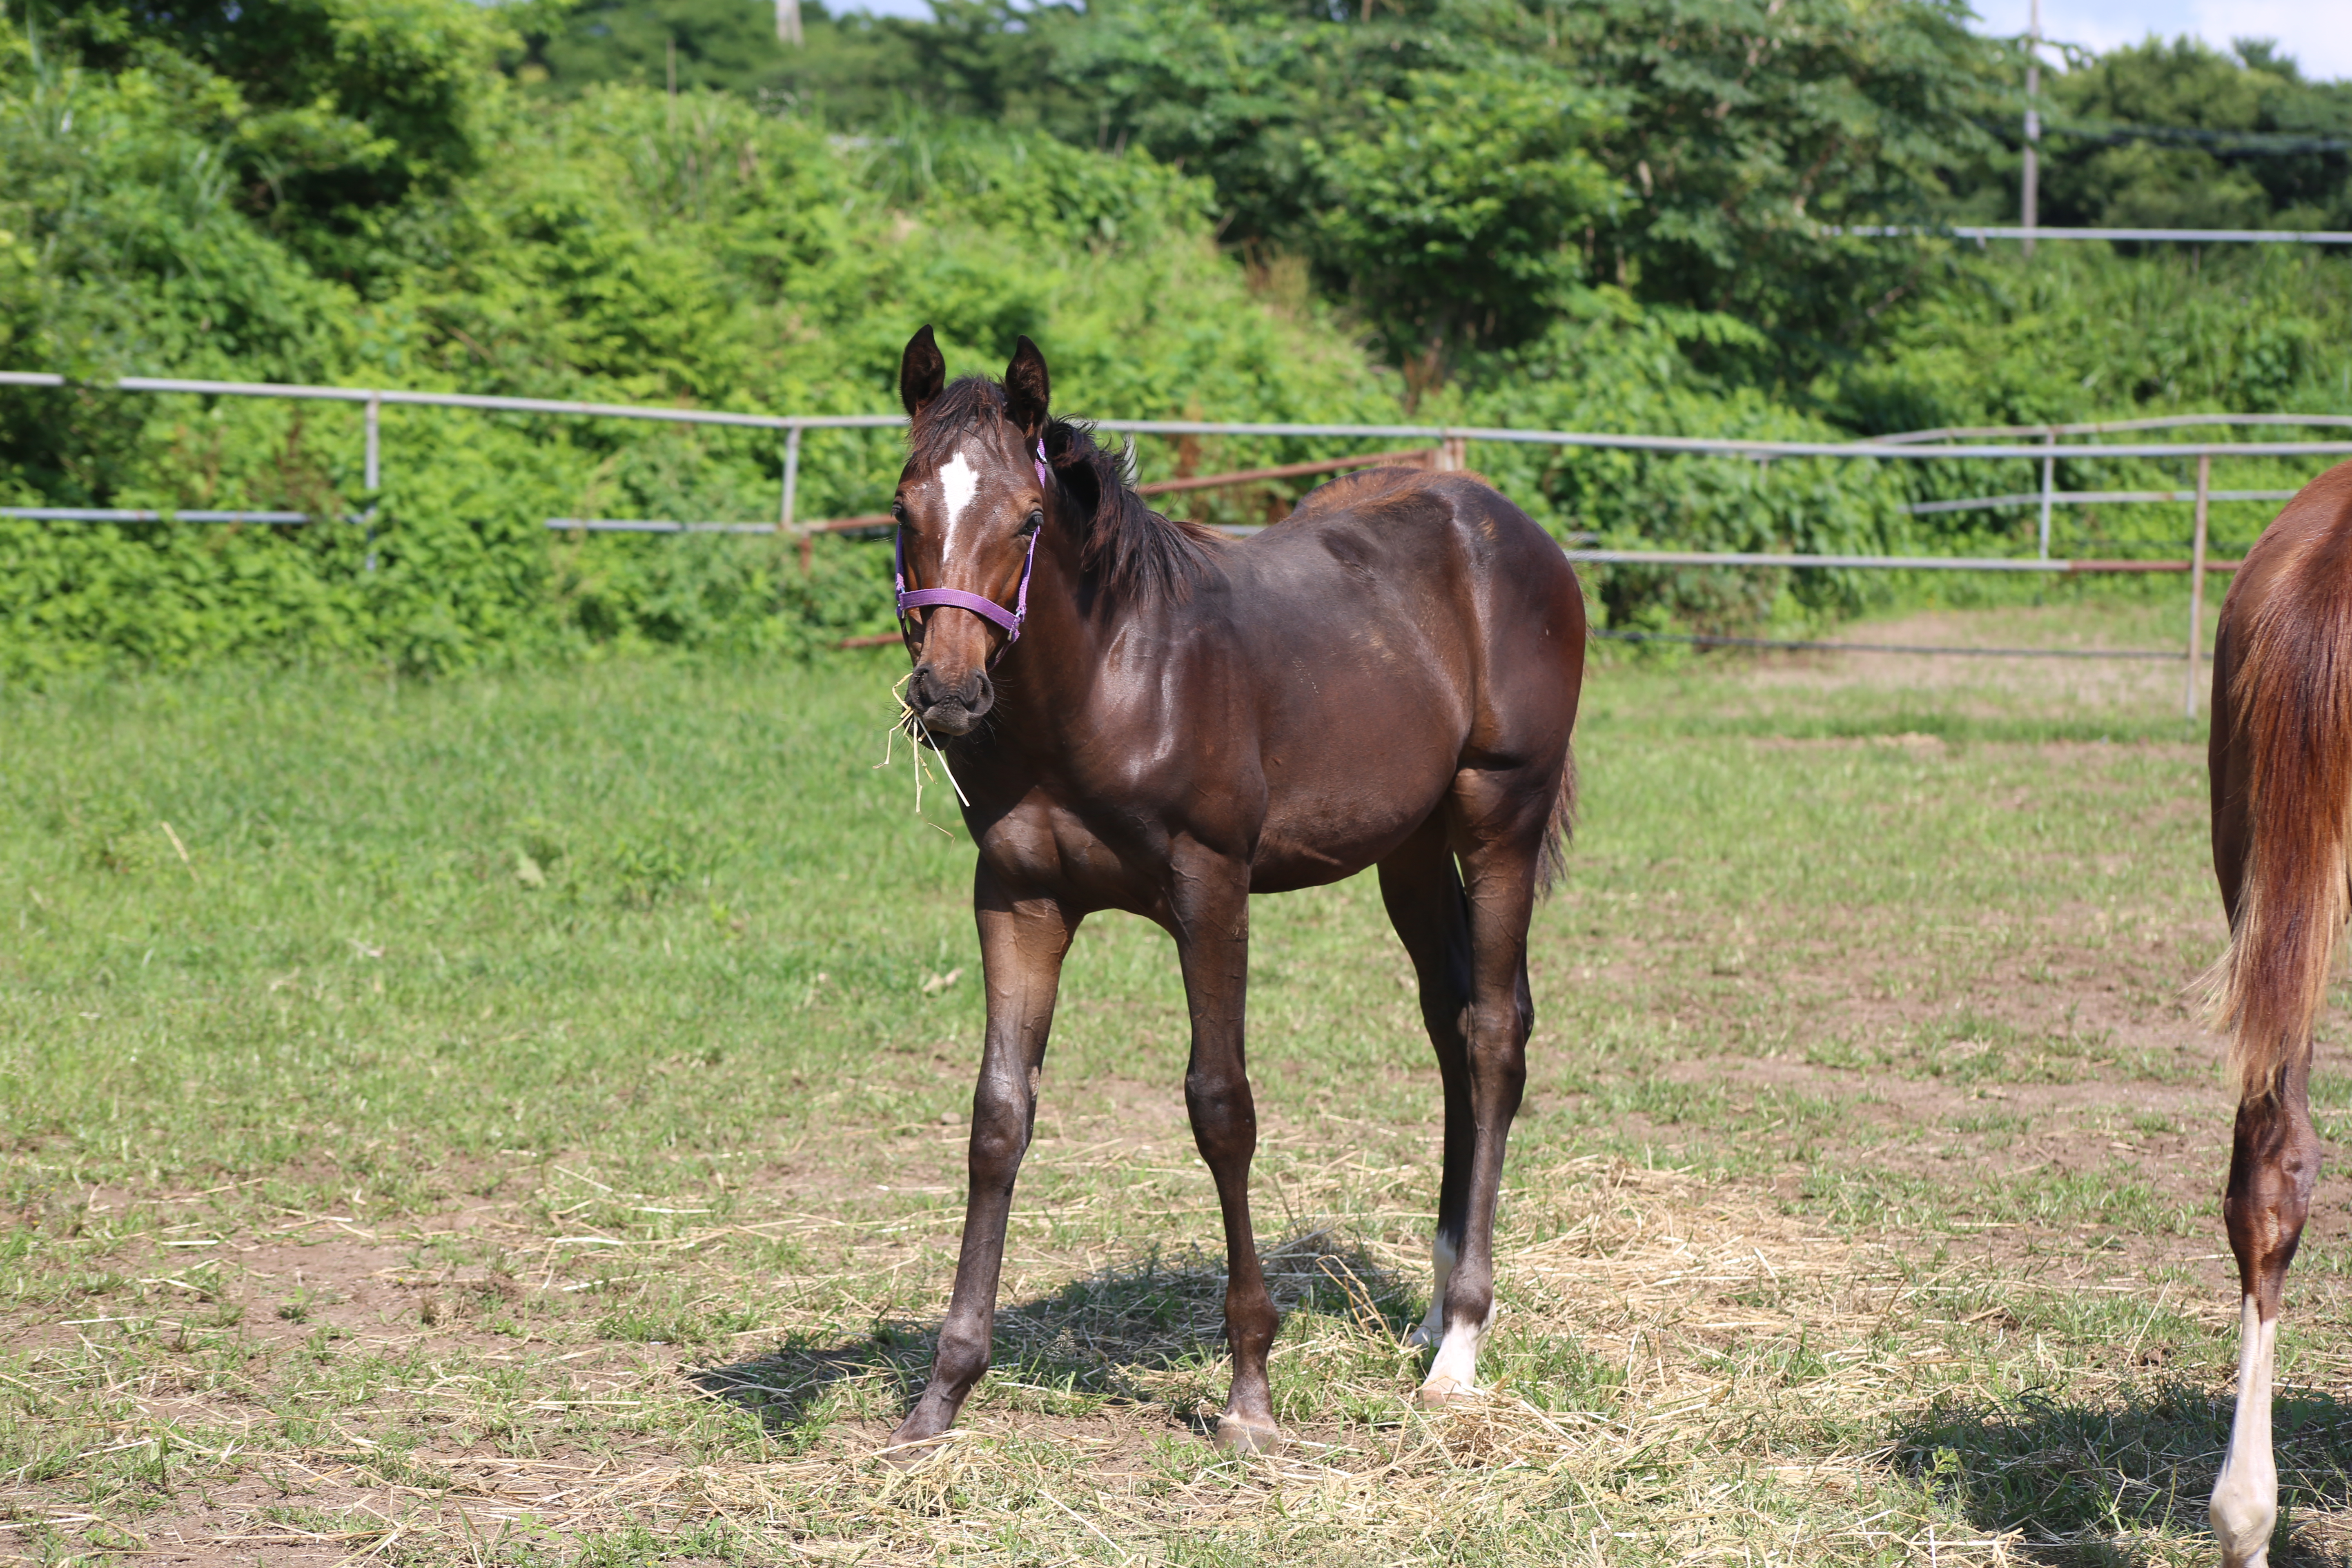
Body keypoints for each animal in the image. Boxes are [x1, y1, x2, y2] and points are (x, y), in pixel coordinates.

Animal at [880, 331, 1580, 1457]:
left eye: (1026, 519)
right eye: (904, 510)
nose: (948, 694)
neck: (1108, 677)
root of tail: (1509, 527)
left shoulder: (1210, 887)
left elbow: (1221, 1108)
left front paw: (1250, 1387)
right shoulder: (1018, 898)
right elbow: (998, 1116)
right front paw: (943, 1391)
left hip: (1497, 817)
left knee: (1493, 1035)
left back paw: (1461, 1346)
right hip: (1410, 848)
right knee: (1450, 1024)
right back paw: (1432, 1311)